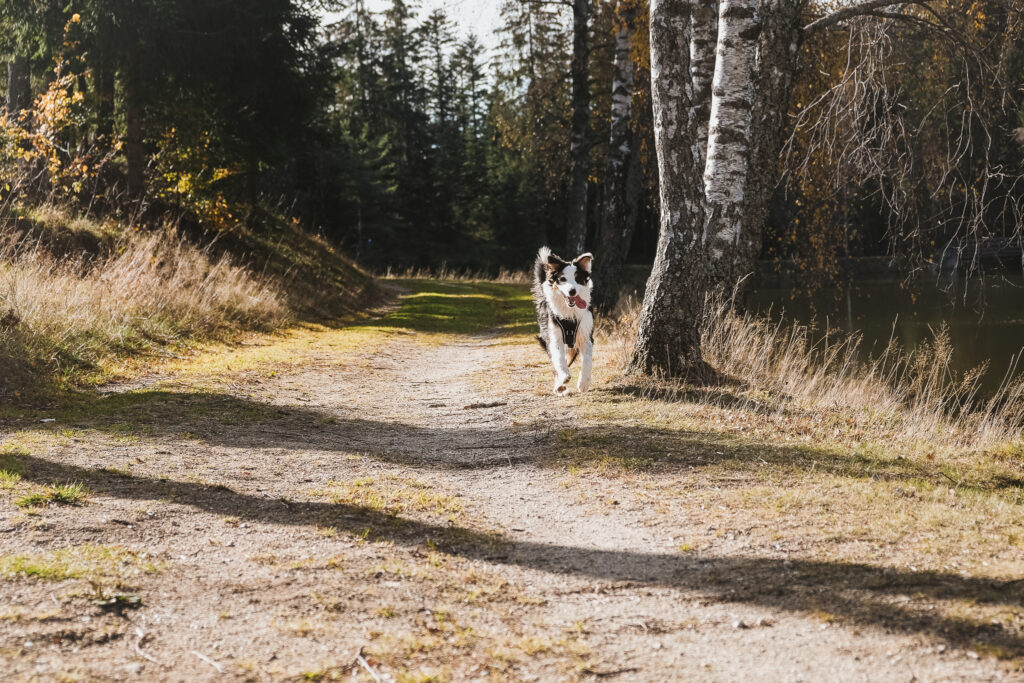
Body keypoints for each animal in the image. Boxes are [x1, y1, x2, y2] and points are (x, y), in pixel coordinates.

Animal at [532, 246, 598, 395]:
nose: (572, 291)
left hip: (572, 346)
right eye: (562, 279)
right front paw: (564, 376)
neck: (570, 312)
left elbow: (588, 361)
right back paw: (559, 385)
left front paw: (584, 383)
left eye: (578, 279)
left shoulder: (586, 335)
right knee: (556, 364)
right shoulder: (554, 336)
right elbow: (559, 359)